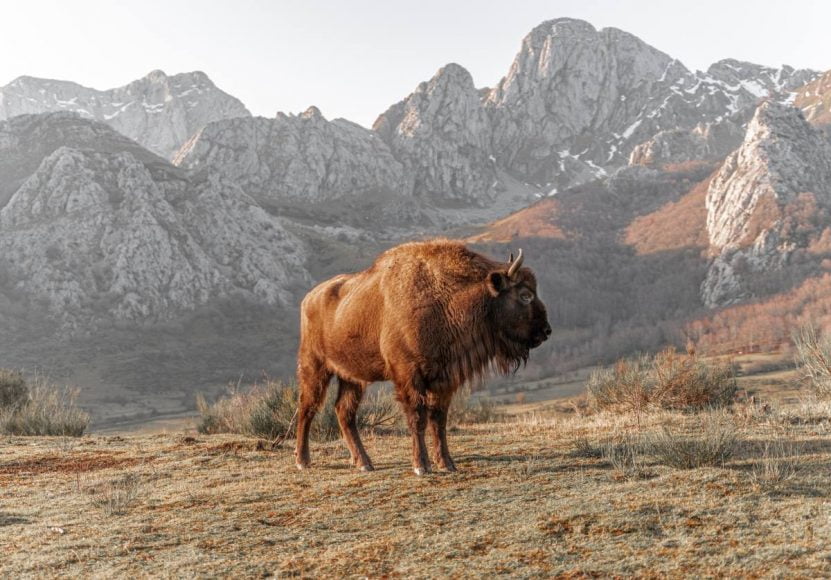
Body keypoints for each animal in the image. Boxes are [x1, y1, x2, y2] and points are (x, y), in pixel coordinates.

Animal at [294, 238, 552, 474]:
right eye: (525, 295)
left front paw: (447, 463)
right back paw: (303, 461)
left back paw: (364, 463)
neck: (445, 299)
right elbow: (418, 417)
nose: (546, 331)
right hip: (315, 367)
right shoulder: (409, 375)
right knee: (307, 407)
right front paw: (421, 466)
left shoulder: (444, 379)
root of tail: (309, 297)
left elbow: (439, 419)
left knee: (344, 412)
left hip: (352, 377)